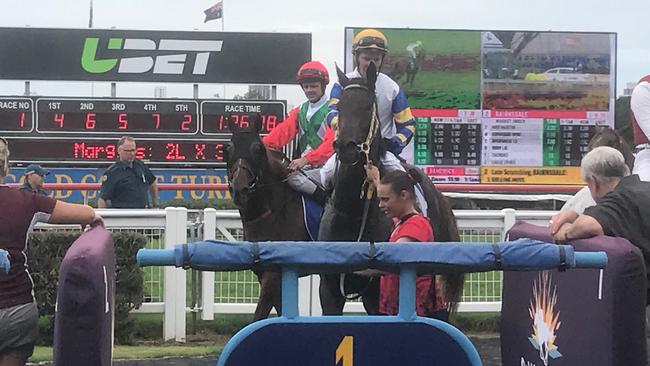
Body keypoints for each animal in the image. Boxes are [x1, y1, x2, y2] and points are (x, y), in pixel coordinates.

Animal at [224, 115, 308, 320]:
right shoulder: (263, 273)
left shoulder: (273, 274)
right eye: (227, 148)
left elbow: (259, 315)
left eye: (258, 149)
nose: (240, 189)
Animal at [318, 62, 460, 314]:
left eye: (368, 107)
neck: (353, 214)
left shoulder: (376, 294)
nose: (346, 147)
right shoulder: (329, 289)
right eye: (340, 106)